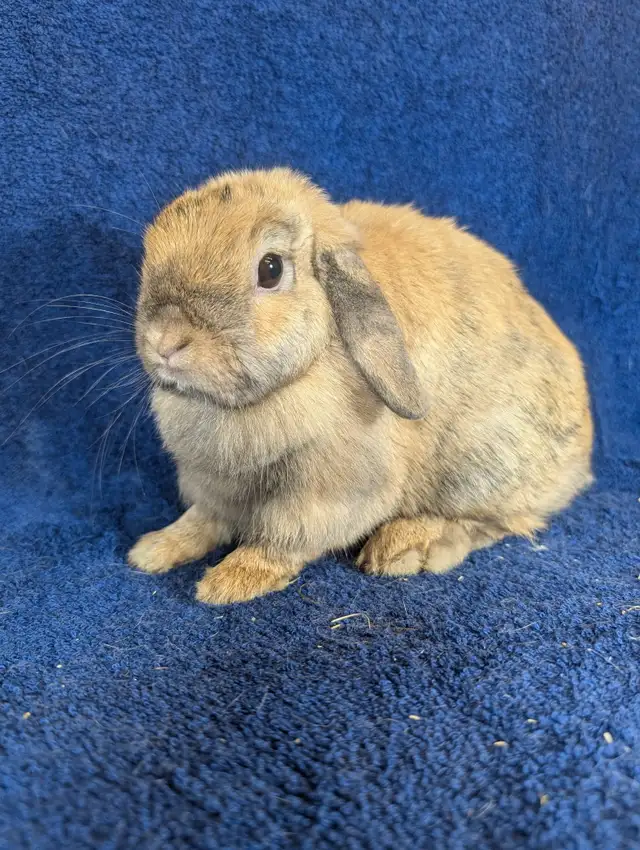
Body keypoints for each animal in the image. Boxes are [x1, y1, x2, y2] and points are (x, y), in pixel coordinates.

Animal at [128, 167, 593, 604]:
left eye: (270, 269)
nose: (165, 341)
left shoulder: (326, 493)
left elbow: (284, 538)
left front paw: (231, 581)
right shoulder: (214, 486)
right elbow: (202, 520)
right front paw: (154, 550)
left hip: (480, 466)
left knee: (496, 521)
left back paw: (407, 547)